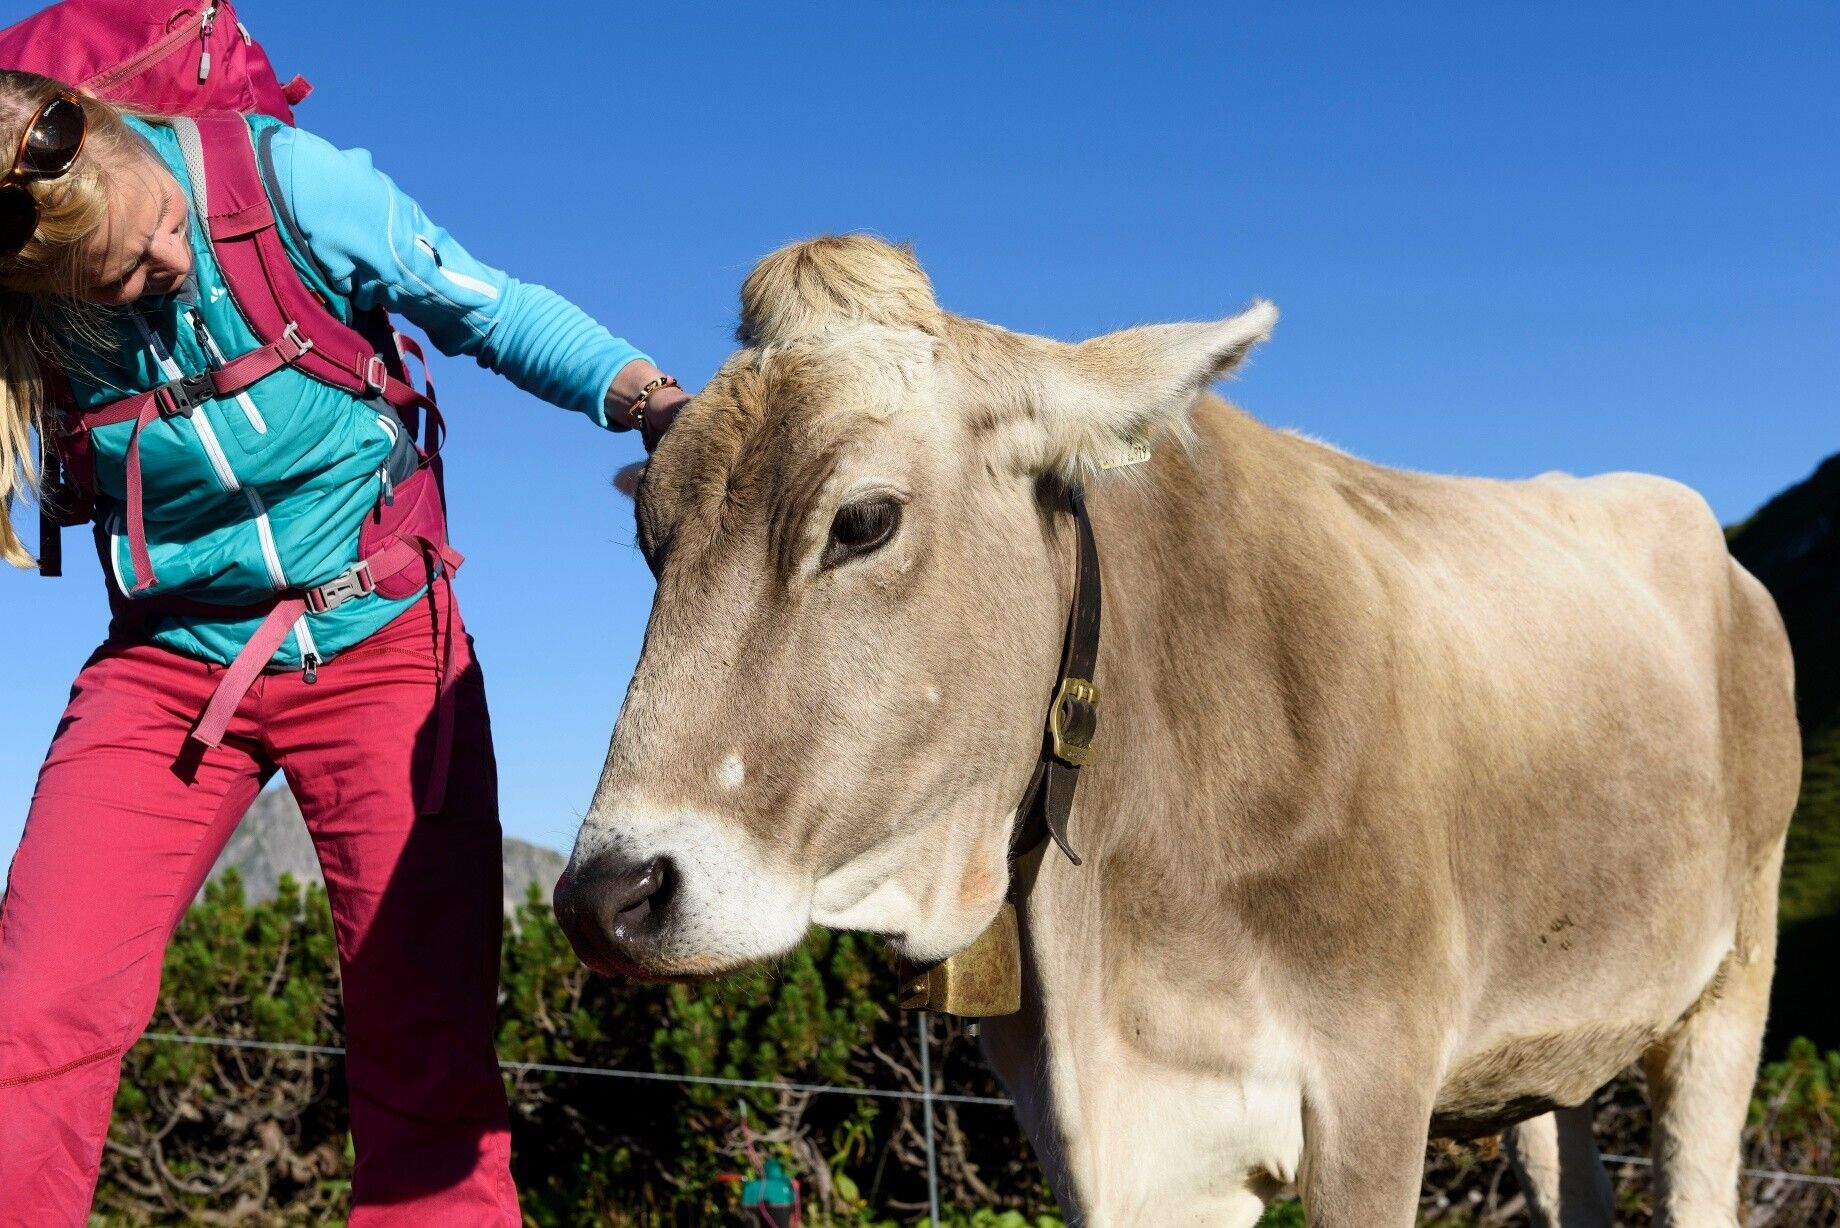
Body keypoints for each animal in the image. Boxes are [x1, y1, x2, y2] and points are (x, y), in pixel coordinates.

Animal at [554, 235, 1801, 1227]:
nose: (609, 895)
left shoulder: (1373, 1083)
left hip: (1732, 973)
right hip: (1548, 1043)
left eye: (862, 519)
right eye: (652, 539)